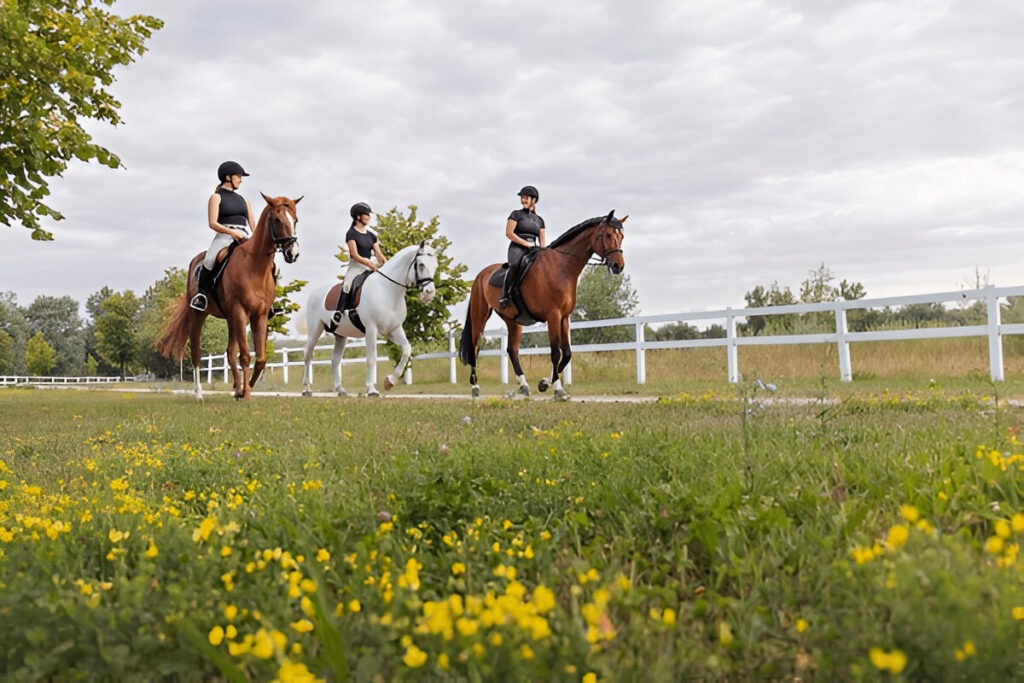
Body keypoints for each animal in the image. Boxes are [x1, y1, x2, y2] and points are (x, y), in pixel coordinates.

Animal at [155, 193, 299, 401]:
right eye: (277, 219)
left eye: (295, 220)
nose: (292, 253)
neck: (255, 266)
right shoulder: (240, 312)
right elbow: (245, 356)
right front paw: (246, 394)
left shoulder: (260, 315)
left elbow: (260, 359)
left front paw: (244, 389)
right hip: (200, 315)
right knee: (196, 353)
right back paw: (199, 394)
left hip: (232, 318)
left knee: (230, 352)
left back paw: (237, 388)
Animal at [299, 241, 438, 397]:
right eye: (421, 264)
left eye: (435, 265)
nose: (429, 294)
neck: (387, 289)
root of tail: (314, 293)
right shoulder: (371, 329)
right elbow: (372, 358)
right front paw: (371, 389)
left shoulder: (394, 330)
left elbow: (407, 349)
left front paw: (389, 382)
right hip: (315, 330)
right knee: (308, 355)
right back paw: (307, 389)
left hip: (341, 335)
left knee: (335, 360)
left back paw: (340, 390)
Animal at [462, 210, 622, 397]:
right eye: (608, 235)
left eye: (621, 236)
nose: (618, 266)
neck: (562, 267)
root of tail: (481, 275)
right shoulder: (553, 316)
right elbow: (555, 353)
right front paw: (558, 389)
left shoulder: (564, 317)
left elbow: (567, 354)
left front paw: (545, 383)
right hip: (479, 317)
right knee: (474, 348)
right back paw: (475, 387)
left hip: (513, 321)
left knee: (512, 350)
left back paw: (523, 385)